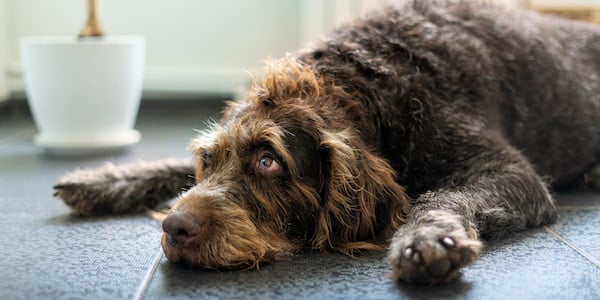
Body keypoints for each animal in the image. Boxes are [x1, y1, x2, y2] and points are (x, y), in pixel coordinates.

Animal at [54, 1, 596, 284]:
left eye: (268, 161)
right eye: (207, 161)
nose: (175, 227)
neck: (372, 85)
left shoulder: (509, 173)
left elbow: (442, 195)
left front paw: (427, 239)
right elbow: (167, 168)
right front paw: (105, 178)